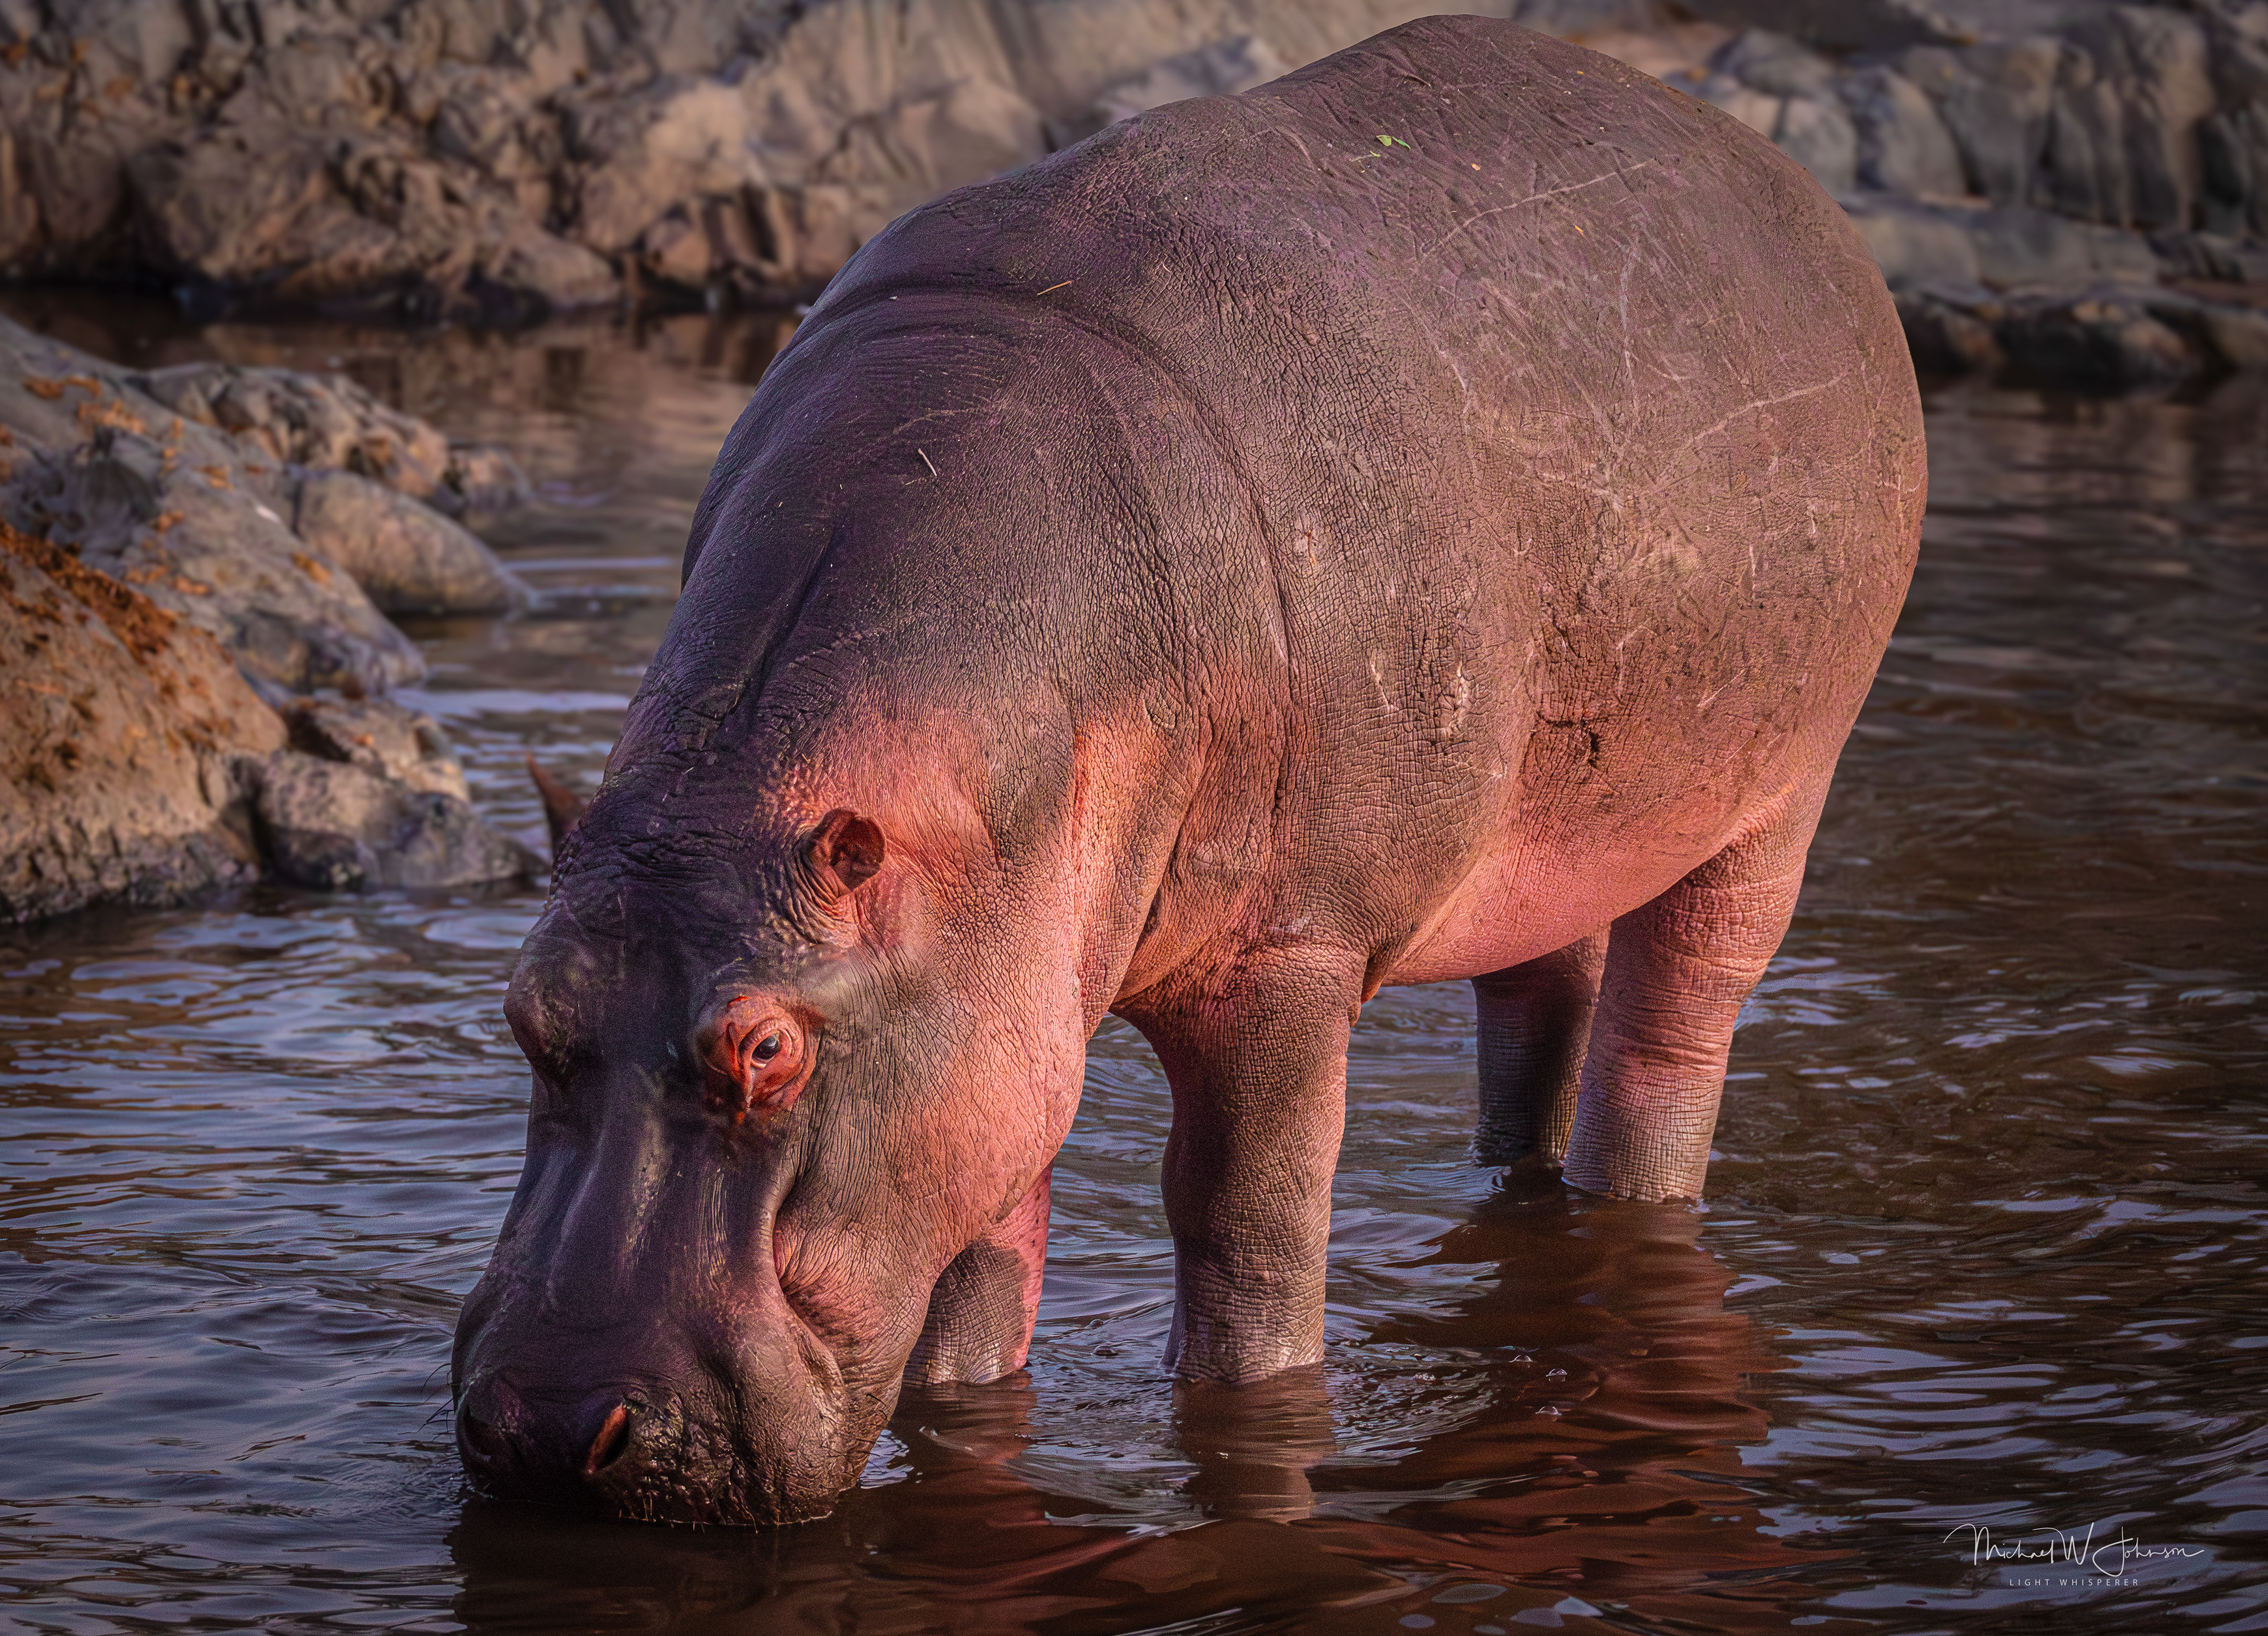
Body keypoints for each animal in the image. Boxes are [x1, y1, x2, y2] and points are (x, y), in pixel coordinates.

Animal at [452, 15, 1924, 1525]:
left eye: (764, 1048)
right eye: (522, 1008)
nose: (547, 1428)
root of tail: (1786, 191)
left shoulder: (1291, 947)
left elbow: (1241, 1215)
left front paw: (1252, 1403)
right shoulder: (1000, 992)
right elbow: (984, 1244)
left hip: (1775, 795)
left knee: (1674, 1031)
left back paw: (1640, 1179)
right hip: (1559, 820)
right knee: (1539, 1001)